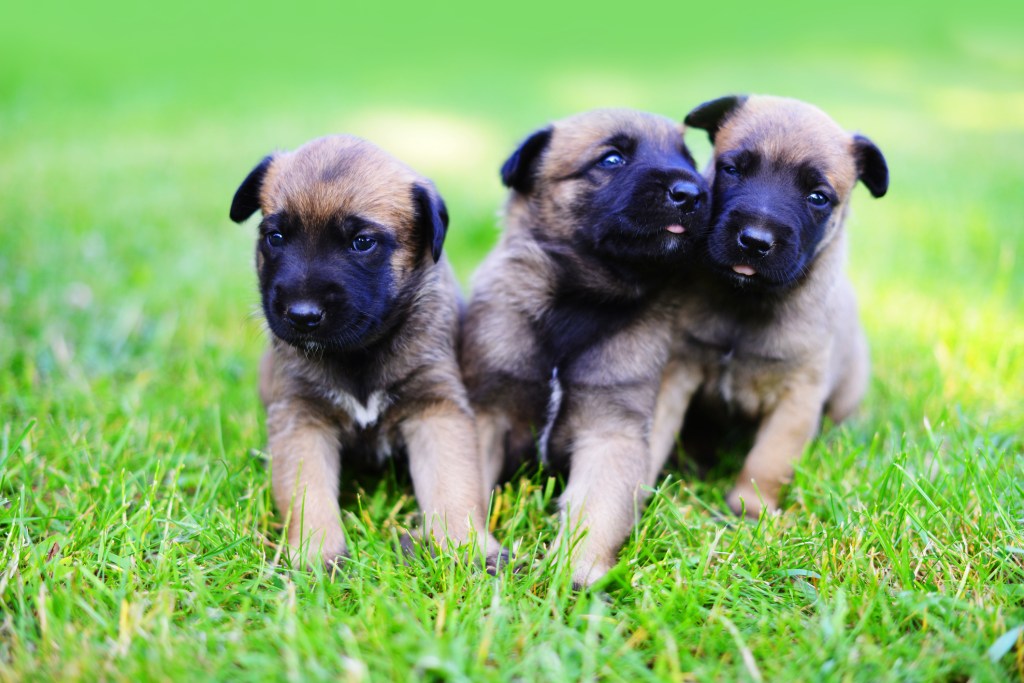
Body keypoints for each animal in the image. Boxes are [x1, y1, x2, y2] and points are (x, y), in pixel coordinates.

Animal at [233, 136, 503, 569]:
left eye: (362, 243)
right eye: (275, 237)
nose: (302, 315)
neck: (358, 354)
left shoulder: (436, 409)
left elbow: (453, 485)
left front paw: (471, 549)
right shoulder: (301, 416)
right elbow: (307, 493)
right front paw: (316, 556)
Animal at [460, 109, 708, 585]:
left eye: (689, 159)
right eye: (611, 158)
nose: (693, 193)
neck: (580, 302)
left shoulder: (610, 433)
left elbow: (594, 512)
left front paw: (575, 572)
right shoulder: (486, 415)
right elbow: (467, 491)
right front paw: (478, 553)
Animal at [651, 96, 892, 518]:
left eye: (818, 197)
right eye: (732, 169)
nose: (755, 240)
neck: (744, 301)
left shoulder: (796, 400)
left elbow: (768, 460)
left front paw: (749, 508)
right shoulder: (677, 373)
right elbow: (654, 434)